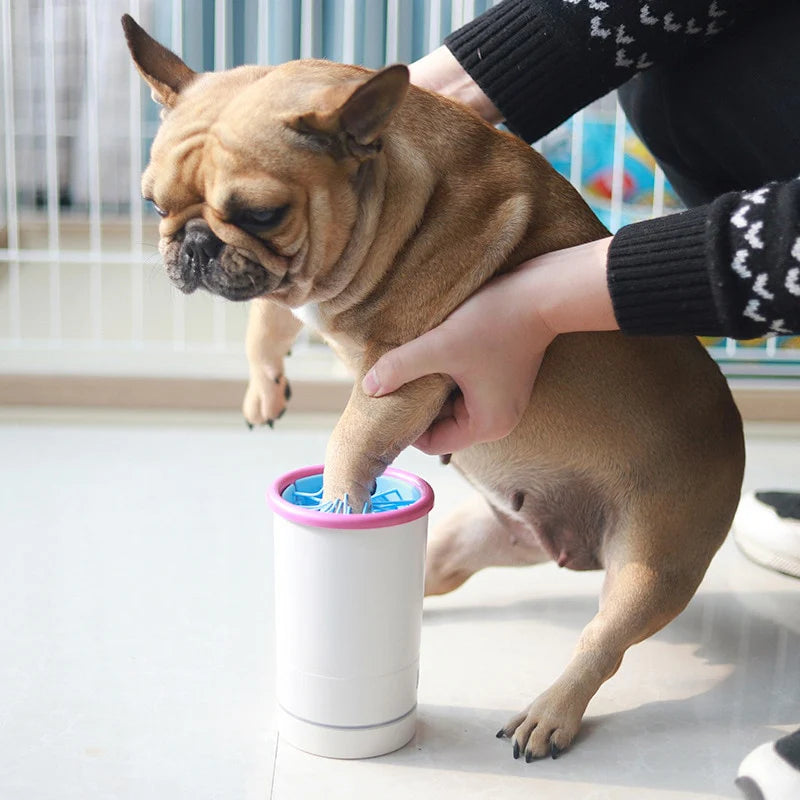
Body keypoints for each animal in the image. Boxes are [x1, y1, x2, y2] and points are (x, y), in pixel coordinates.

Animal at [123, 15, 744, 760]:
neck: (392, 196)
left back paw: (550, 713)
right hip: (475, 537)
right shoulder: (292, 289)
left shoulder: (403, 375)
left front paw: (339, 504)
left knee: (603, 643)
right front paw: (264, 387)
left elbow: (349, 437)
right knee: (438, 570)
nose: (191, 245)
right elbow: (269, 319)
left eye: (263, 213)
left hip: (651, 568)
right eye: (153, 202)